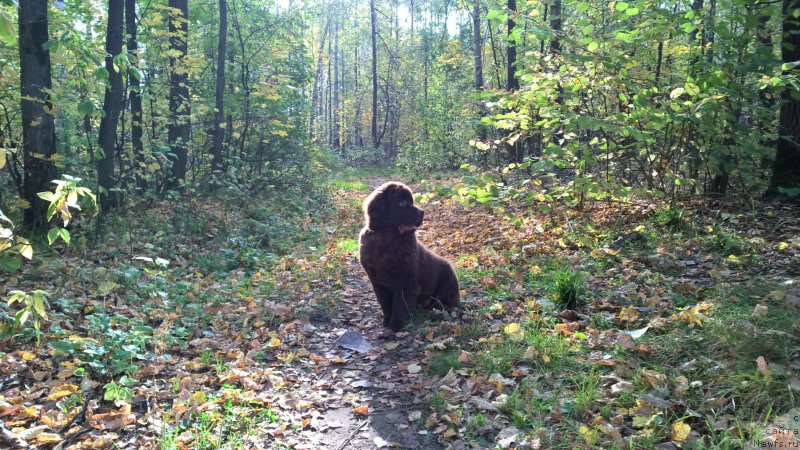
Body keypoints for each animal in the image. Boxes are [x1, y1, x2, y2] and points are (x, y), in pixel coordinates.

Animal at [360, 181, 460, 332]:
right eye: (402, 203)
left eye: (411, 201)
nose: (422, 212)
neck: (387, 239)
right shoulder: (377, 281)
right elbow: (385, 303)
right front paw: (386, 322)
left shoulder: (405, 281)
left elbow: (400, 304)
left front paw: (396, 325)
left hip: (447, 284)